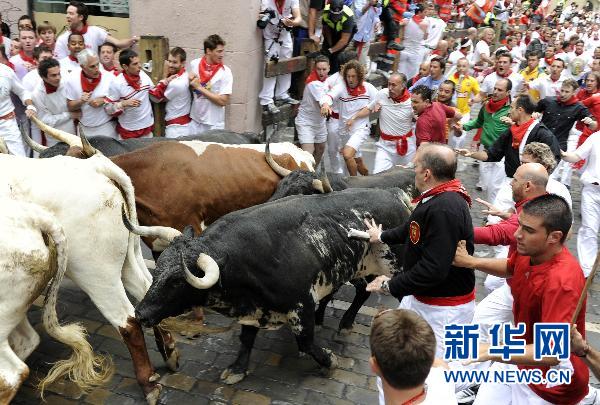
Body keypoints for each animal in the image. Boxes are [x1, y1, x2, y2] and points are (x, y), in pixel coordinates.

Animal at [133, 188, 410, 384]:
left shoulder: (300, 303)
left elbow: (306, 342)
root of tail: (394, 195)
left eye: (176, 281)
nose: (140, 313)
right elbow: (246, 338)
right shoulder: (254, 309)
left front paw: (329, 361)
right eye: (158, 268)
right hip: (355, 268)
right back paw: (339, 322)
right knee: (361, 290)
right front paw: (237, 369)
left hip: (397, 266)